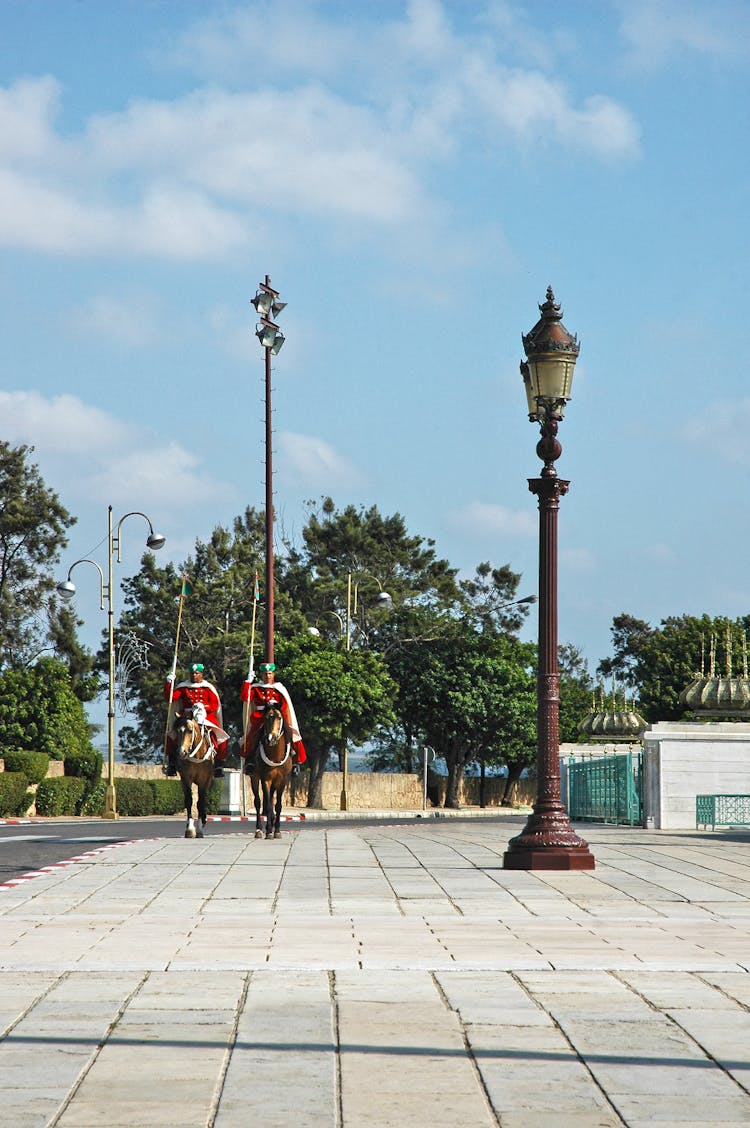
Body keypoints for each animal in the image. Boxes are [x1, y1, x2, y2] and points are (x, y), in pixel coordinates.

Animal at [246, 703, 290, 839]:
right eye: (266, 718)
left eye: (279, 718)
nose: (271, 738)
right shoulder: (266, 779)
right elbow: (268, 806)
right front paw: (270, 830)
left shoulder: (282, 780)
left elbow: (278, 805)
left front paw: (277, 831)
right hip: (255, 778)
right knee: (258, 802)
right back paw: (259, 830)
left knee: (270, 798)